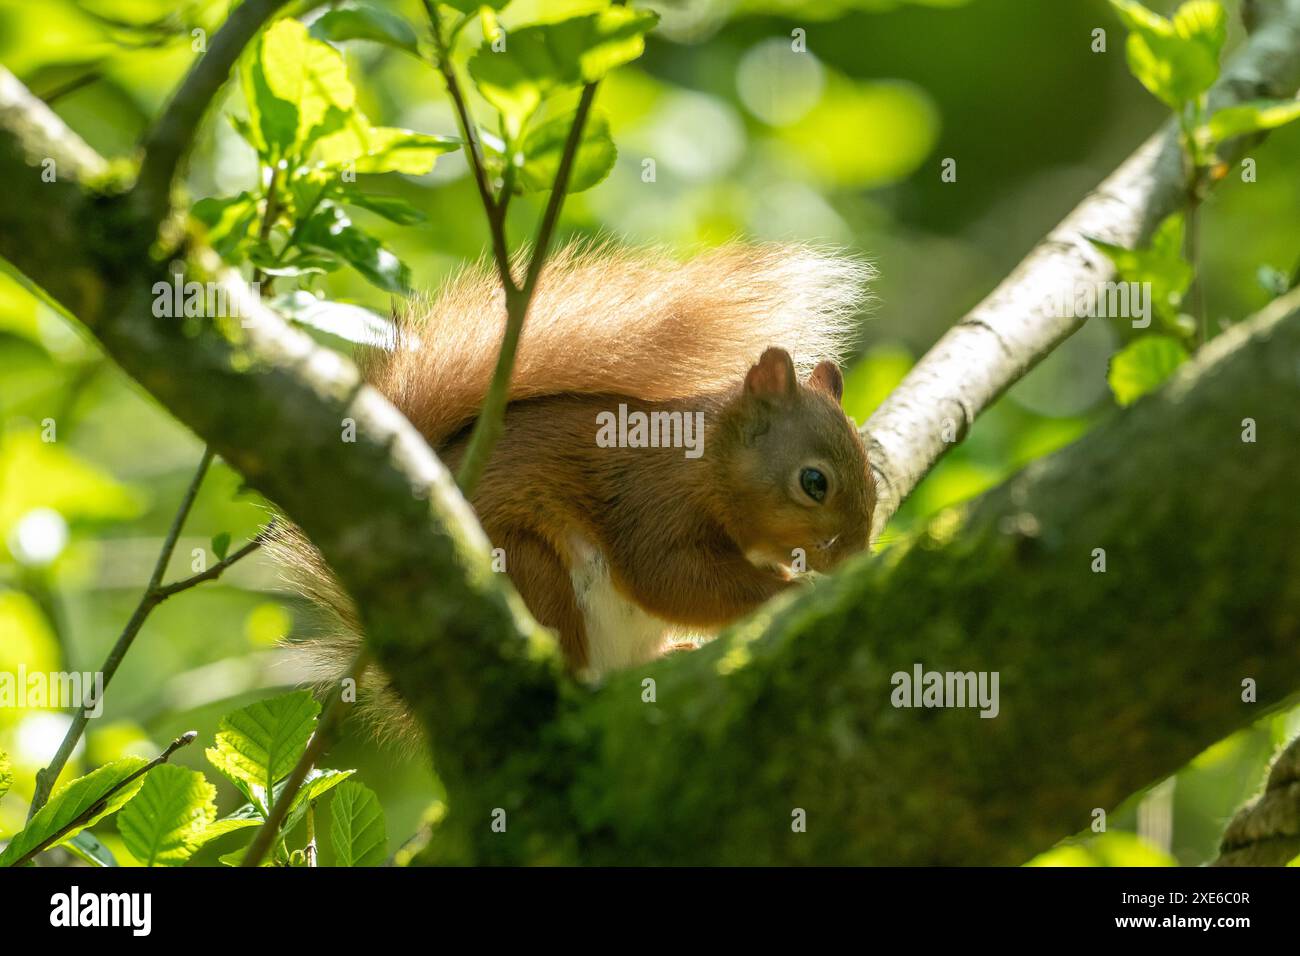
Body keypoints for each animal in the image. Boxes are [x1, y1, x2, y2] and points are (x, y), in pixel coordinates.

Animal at [276, 242, 876, 737]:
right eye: (814, 482)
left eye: (872, 472)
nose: (853, 558)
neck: (708, 462)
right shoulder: (652, 503)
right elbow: (670, 578)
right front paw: (789, 591)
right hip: (528, 571)